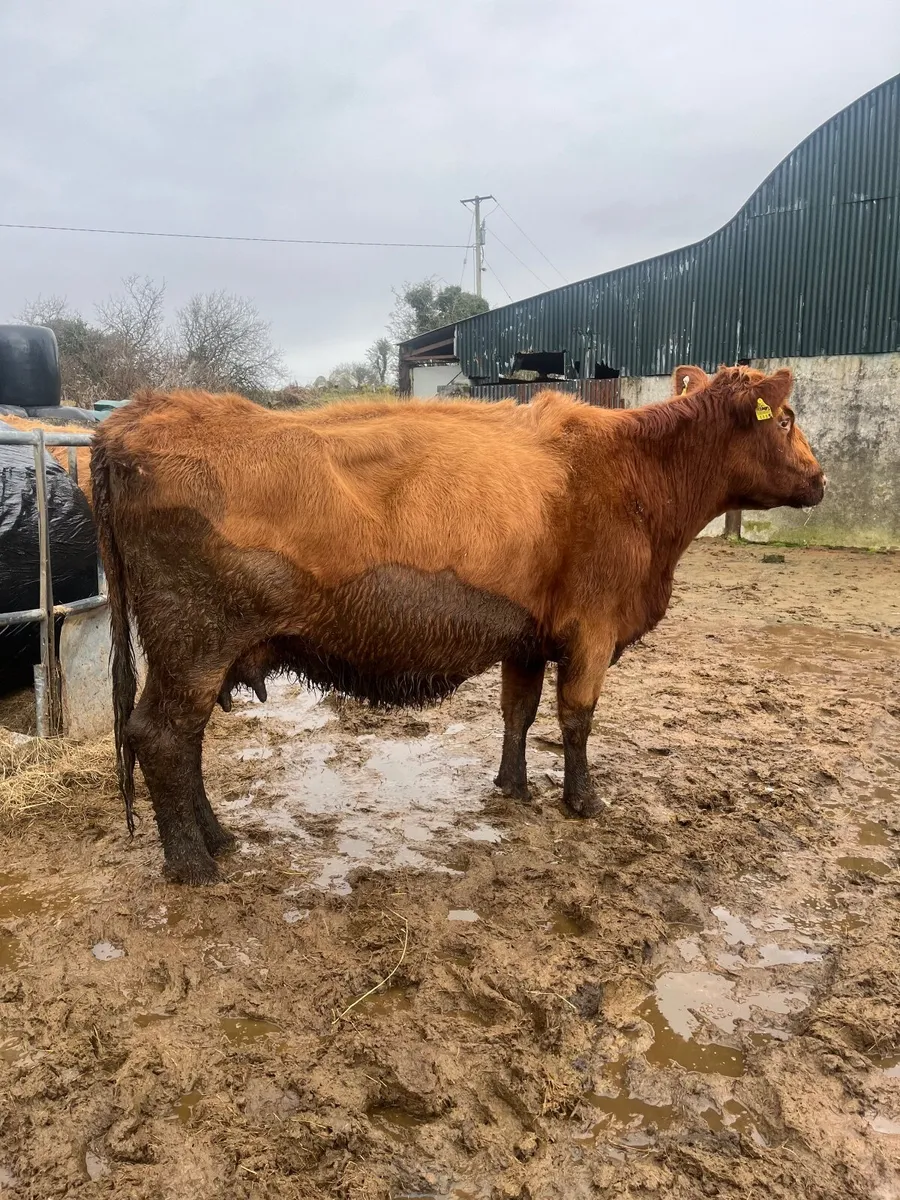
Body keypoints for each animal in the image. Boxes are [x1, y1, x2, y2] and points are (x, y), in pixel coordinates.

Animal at [90, 364, 825, 884]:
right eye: (787, 418)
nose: (820, 481)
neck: (633, 471)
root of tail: (140, 416)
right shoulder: (592, 629)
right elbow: (577, 720)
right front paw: (584, 801)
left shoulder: (529, 635)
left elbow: (518, 712)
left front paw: (513, 787)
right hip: (192, 644)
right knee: (161, 738)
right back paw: (194, 865)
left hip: (189, 653)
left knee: (180, 743)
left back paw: (218, 838)